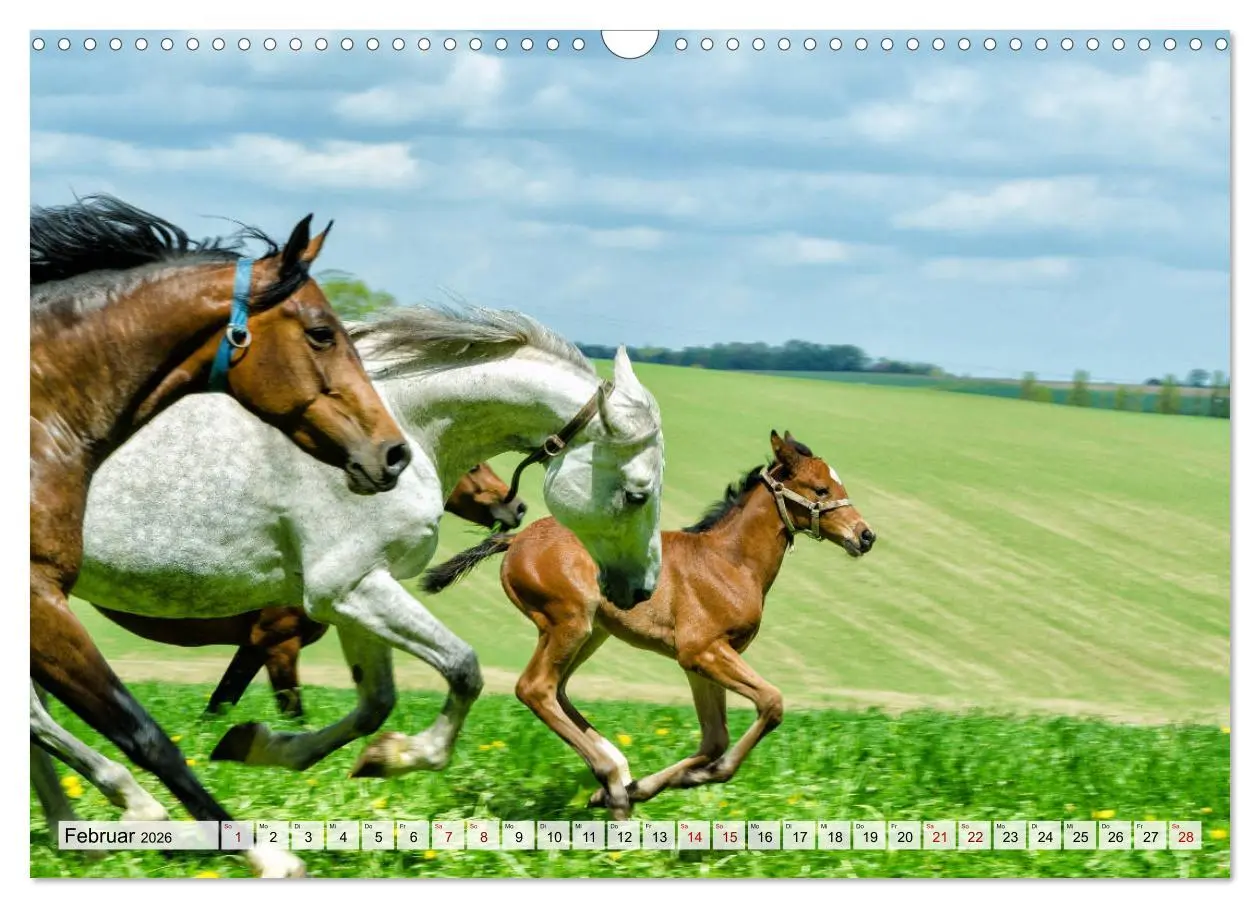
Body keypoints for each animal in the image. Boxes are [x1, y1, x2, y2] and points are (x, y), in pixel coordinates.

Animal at [90, 462, 527, 719]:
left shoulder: (253, 649)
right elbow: (292, 714)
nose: (518, 507)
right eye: (474, 466)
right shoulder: (277, 644)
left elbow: (219, 706)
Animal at [421, 431, 876, 819]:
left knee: (558, 689)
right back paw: (612, 779)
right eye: (821, 490)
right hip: (569, 621)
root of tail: (516, 539)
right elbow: (771, 703)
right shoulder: (703, 651)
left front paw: (652, 785)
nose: (865, 535)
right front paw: (697, 776)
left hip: (592, 632)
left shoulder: (700, 663)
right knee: (535, 688)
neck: (730, 561)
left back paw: (615, 782)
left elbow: (715, 738)